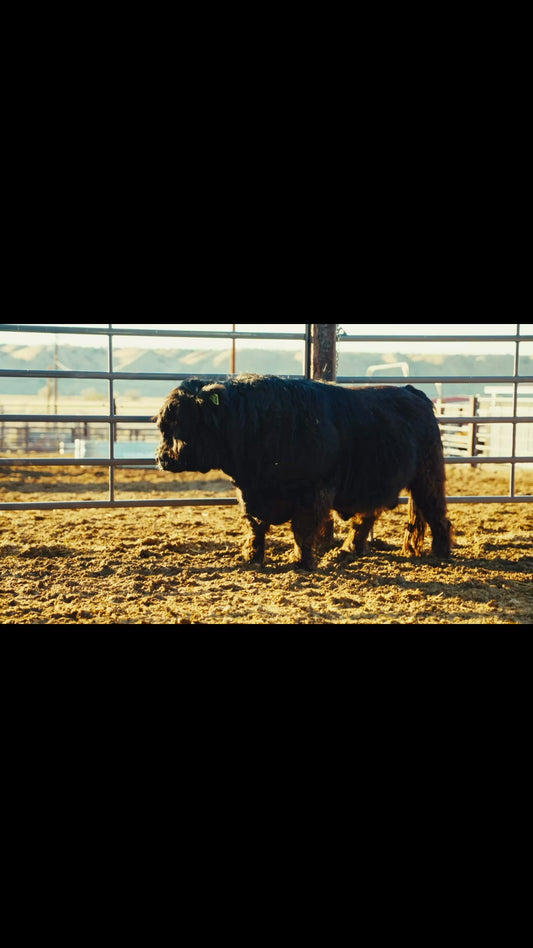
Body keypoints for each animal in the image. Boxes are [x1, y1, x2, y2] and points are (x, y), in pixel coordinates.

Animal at [154, 373, 453, 570]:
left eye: (179, 422)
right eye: (164, 425)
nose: (162, 457)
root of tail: (412, 391)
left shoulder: (314, 491)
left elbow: (302, 528)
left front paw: (302, 561)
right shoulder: (249, 492)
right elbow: (255, 525)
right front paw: (251, 556)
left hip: (428, 476)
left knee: (437, 513)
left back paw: (441, 552)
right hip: (374, 482)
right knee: (365, 517)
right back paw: (348, 550)